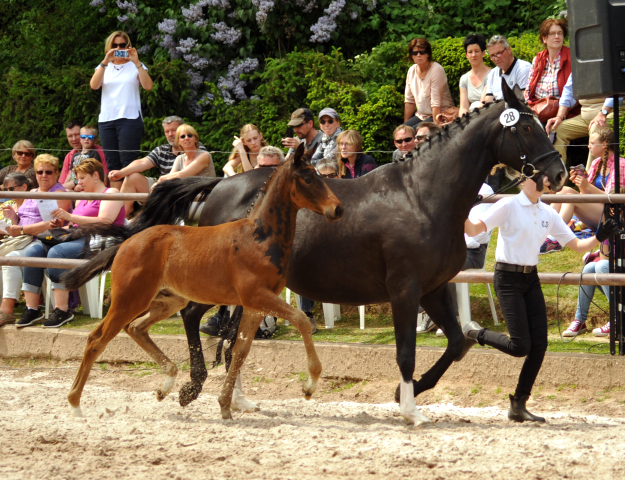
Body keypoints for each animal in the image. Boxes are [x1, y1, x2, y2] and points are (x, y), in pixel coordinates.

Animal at [67, 145, 342, 416]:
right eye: (308, 178)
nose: (337, 209)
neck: (259, 238)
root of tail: (125, 244)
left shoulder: (255, 306)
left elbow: (240, 351)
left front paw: (225, 405)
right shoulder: (258, 296)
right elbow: (300, 320)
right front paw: (310, 385)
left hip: (167, 301)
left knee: (135, 328)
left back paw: (167, 384)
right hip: (129, 300)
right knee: (97, 340)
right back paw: (76, 405)